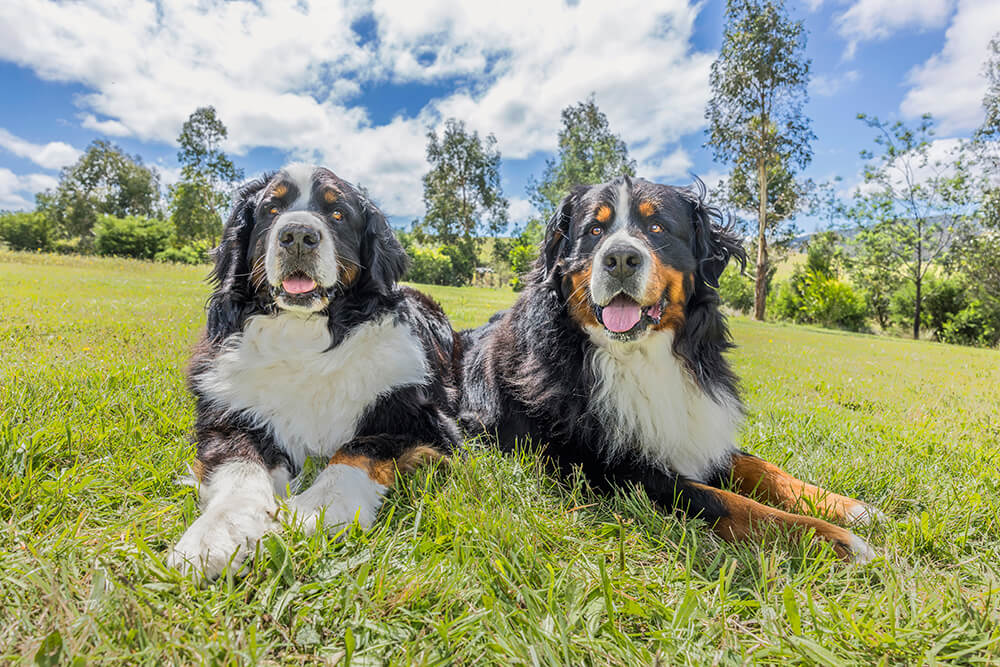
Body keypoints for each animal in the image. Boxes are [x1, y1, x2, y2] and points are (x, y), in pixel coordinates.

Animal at [169, 164, 460, 576]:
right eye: (271, 210)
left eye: (337, 213)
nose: (298, 236)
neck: (304, 336)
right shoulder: (225, 416)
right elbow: (239, 465)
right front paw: (218, 533)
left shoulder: (422, 420)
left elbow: (357, 451)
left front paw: (313, 510)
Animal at [460, 175, 884, 560]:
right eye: (595, 230)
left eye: (657, 227)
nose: (620, 259)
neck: (640, 355)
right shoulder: (611, 471)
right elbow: (725, 501)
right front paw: (834, 539)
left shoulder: (695, 431)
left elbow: (762, 467)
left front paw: (849, 508)